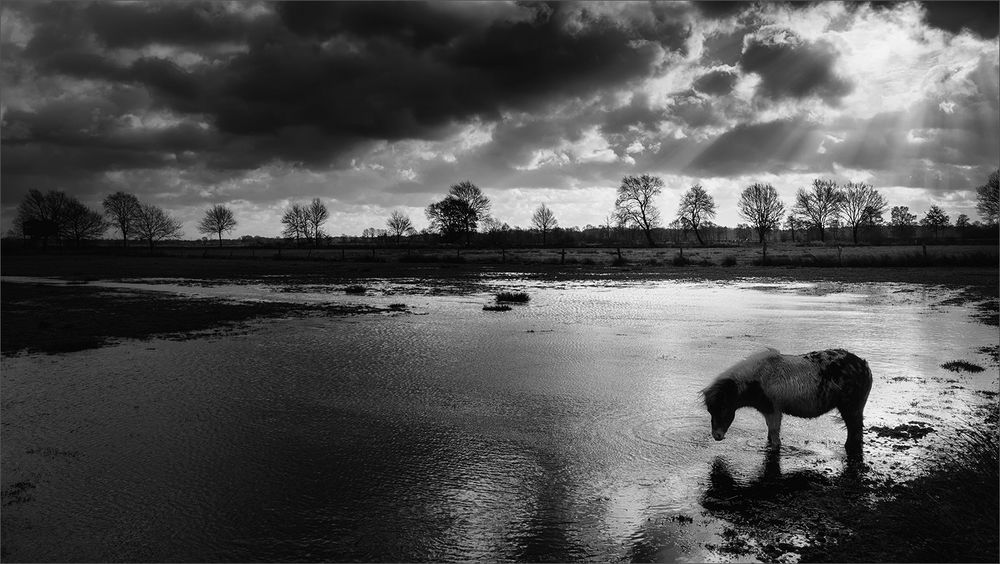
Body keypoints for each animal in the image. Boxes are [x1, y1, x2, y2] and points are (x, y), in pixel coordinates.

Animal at [700, 348, 872, 454]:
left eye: (724, 408)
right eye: (710, 410)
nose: (717, 436)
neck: (758, 379)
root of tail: (864, 365)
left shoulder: (774, 410)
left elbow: (775, 436)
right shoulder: (768, 411)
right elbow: (770, 434)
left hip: (852, 410)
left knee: (855, 433)